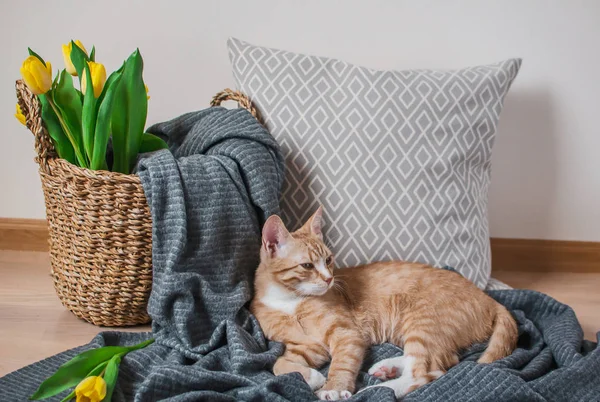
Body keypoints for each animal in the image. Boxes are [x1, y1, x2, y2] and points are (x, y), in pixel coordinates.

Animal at [251, 206, 516, 400]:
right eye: (307, 265)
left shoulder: (347, 334)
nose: (329, 279)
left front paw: (333, 387)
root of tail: (489, 299)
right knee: (437, 359)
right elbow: (278, 364)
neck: (288, 302)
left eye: (328, 260)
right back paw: (387, 368)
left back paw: (377, 390)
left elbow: (342, 363)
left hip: (422, 322)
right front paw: (313, 377)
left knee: (430, 370)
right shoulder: (307, 347)